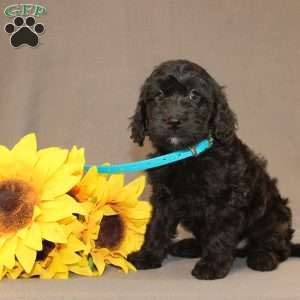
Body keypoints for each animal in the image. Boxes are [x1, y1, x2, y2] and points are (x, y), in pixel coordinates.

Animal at [126, 59, 298, 280]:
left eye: (194, 95)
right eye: (159, 95)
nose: (173, 120)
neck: (186, 155)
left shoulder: (226, 200)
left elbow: (219, 233)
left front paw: (212, 266)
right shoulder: (163, 197)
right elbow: (157, 226)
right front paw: (147, 256)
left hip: (273, 215)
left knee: (278, 245)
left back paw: (263, 257)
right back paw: (189, 246)